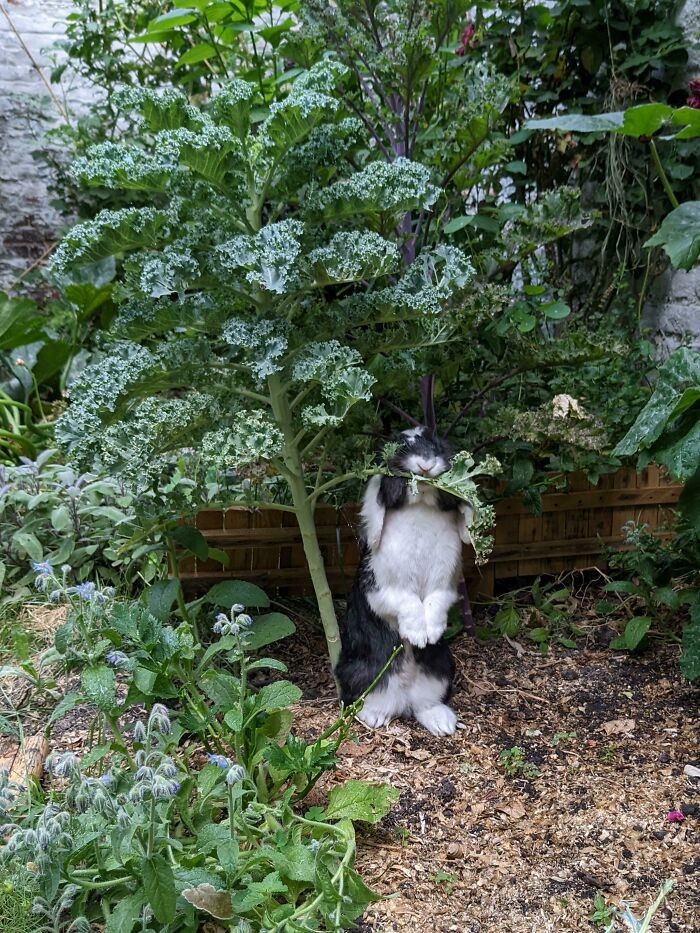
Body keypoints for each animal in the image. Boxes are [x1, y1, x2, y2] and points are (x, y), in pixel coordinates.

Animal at [334, 426, 476, 740]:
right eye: (402, 444)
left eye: (438, 445)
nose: (425, 464)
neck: (420, 504)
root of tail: (403, 697)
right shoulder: (382, 589)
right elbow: (408, 602)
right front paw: (417, 635)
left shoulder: (446, 586)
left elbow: (434, 602)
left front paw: (431, 633)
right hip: (363, 674)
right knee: (363, 701)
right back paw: (374, 717)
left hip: (441, 669)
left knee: (425, 704)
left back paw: (442, 723)